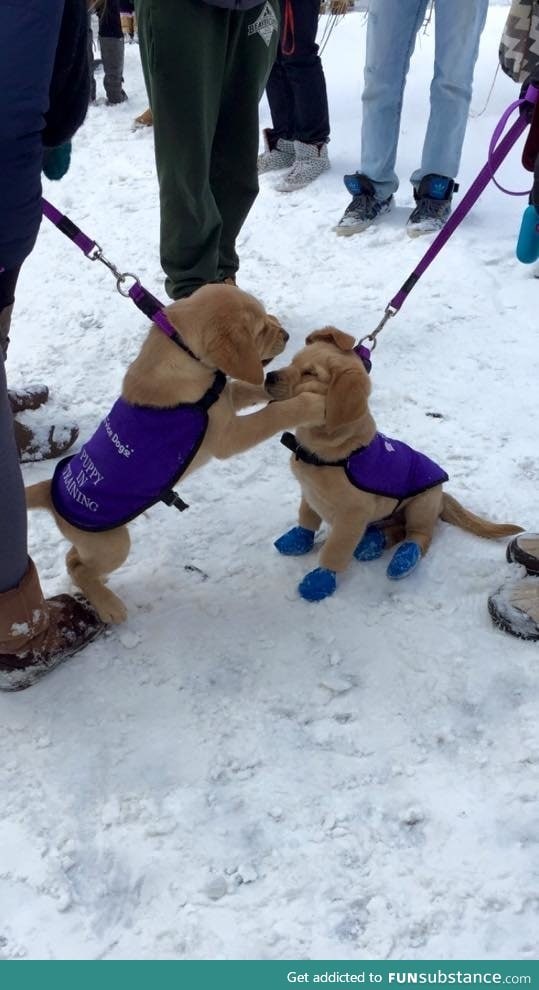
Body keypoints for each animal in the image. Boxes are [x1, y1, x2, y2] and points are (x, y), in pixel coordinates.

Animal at [26, 284, 324, 620]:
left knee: (73, 559)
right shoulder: (229, 437)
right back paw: (109, 605)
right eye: (260, 329)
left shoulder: (226, 396)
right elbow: (273, 415)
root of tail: (47, 491)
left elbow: (249, 388)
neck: (184, 352)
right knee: (77, 566)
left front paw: (283, 388)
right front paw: (309, 403)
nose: (286, 335)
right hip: (112, 544)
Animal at [266, 330, 524, 600]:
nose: (268, 377)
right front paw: (298, 539)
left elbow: (336, 550)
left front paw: (320, 579)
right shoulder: (309, 493)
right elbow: (307, 517)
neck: (328, 452)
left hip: (421, 505)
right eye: (292, 362)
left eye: (310, 374)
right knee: (396, 529)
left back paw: (402, 558)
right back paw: (373, 542)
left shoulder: (351, 516)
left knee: (419, 535)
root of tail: (442, 497)